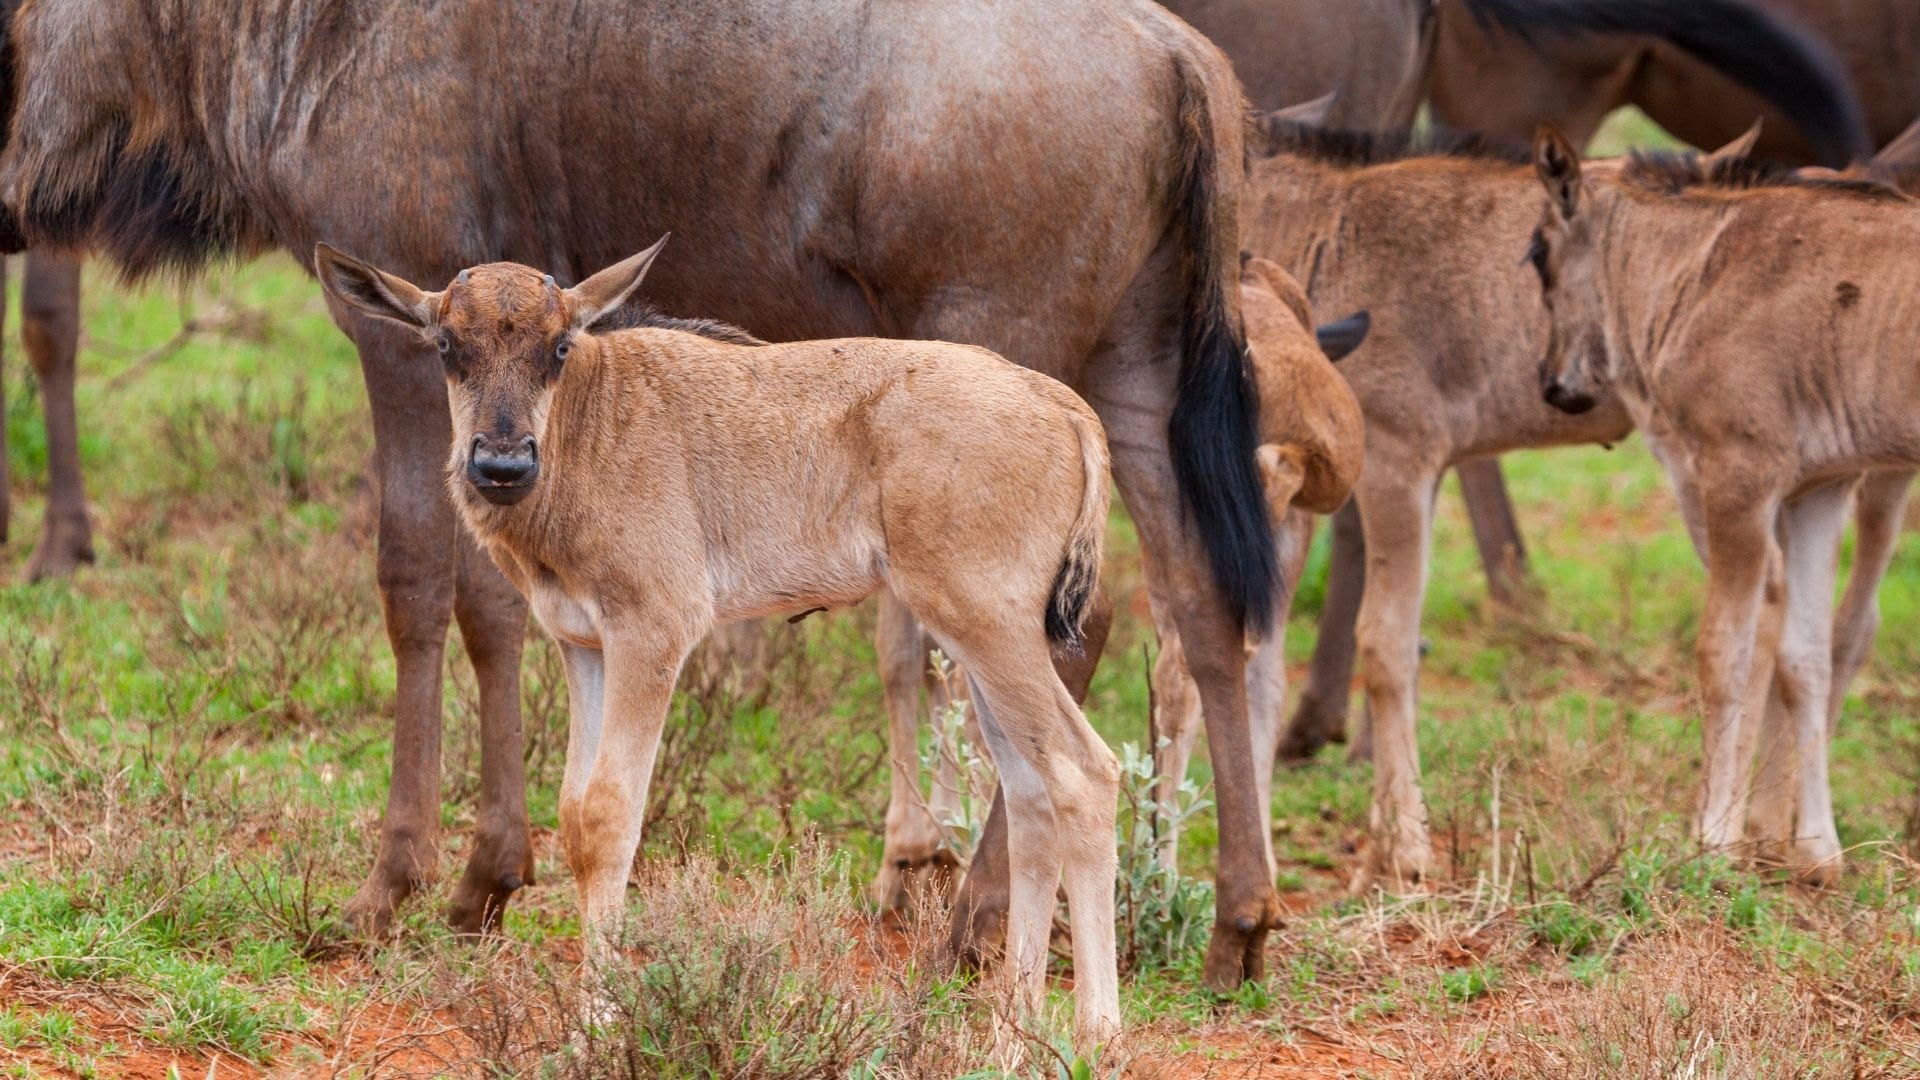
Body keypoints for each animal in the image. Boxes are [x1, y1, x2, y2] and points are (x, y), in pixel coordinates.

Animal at [314, 237, 1123, 1045]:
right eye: (448, 346)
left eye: (558, 347)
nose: (502, 466)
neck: (592, 420)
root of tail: (1063, 405)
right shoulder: (585, 647)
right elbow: (573, 813)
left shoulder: (652, 633)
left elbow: (610, 814)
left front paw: (597, 1022)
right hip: (983, 646)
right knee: (1031, 796)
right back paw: (1015, 1028)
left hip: (989, 631)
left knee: (1086, 773)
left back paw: (1097, 1034)